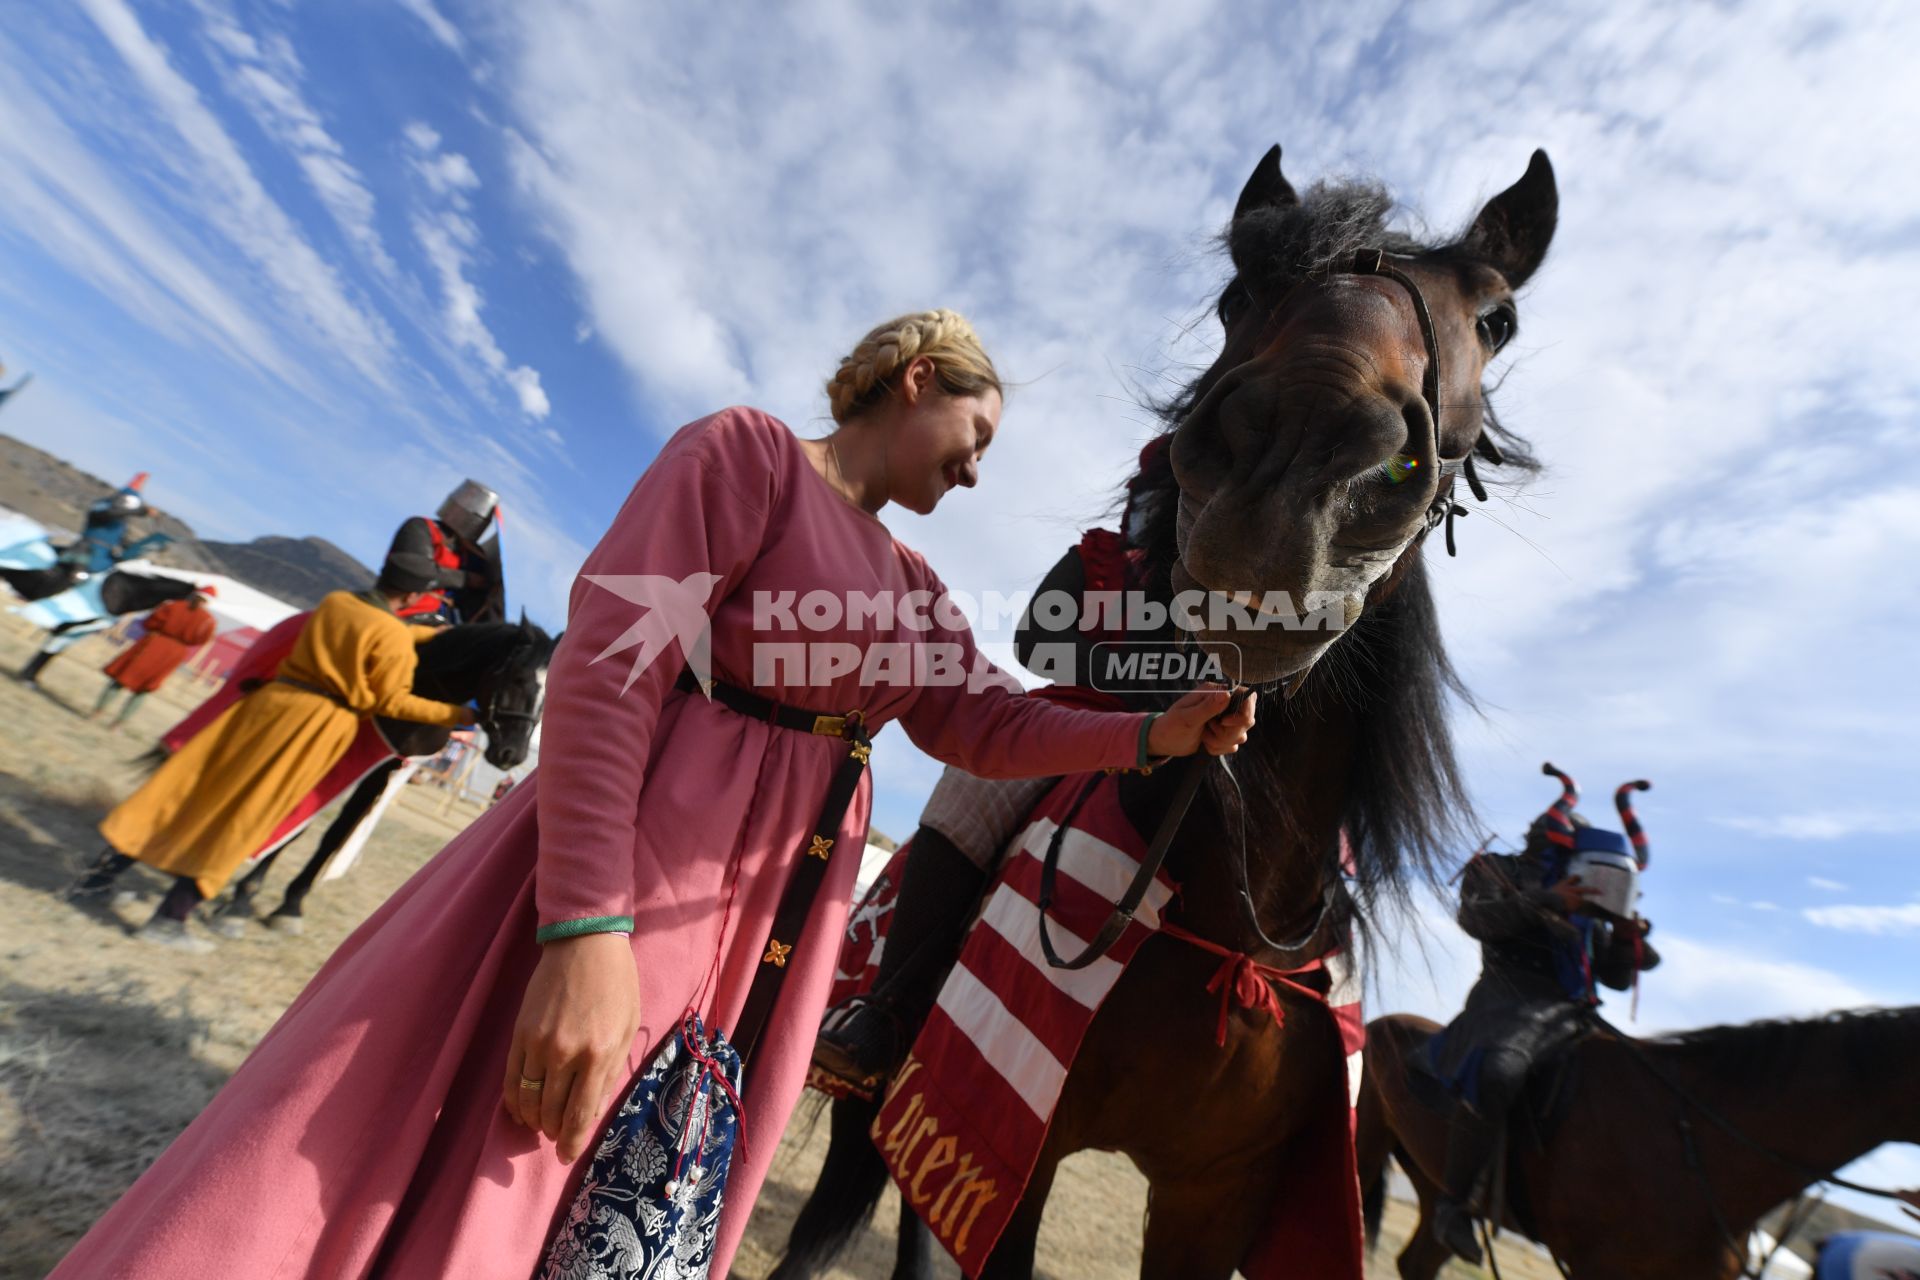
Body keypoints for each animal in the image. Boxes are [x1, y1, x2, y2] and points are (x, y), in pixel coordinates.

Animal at [197, 617, 552, 932]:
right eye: (518, 677)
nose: (513, 754)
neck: (424, 684)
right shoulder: (335, 757)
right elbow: (296, 821)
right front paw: (244, 897)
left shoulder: (383, 767)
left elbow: (336, 833)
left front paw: (291, 905)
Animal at [764, 142, 1559, 1280]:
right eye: (1237, 294)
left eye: (1496, 318)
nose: (1297, 474)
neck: (1230, 913)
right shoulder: (1007, 1127)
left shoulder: (1215, 1197)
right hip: (877, 1083)